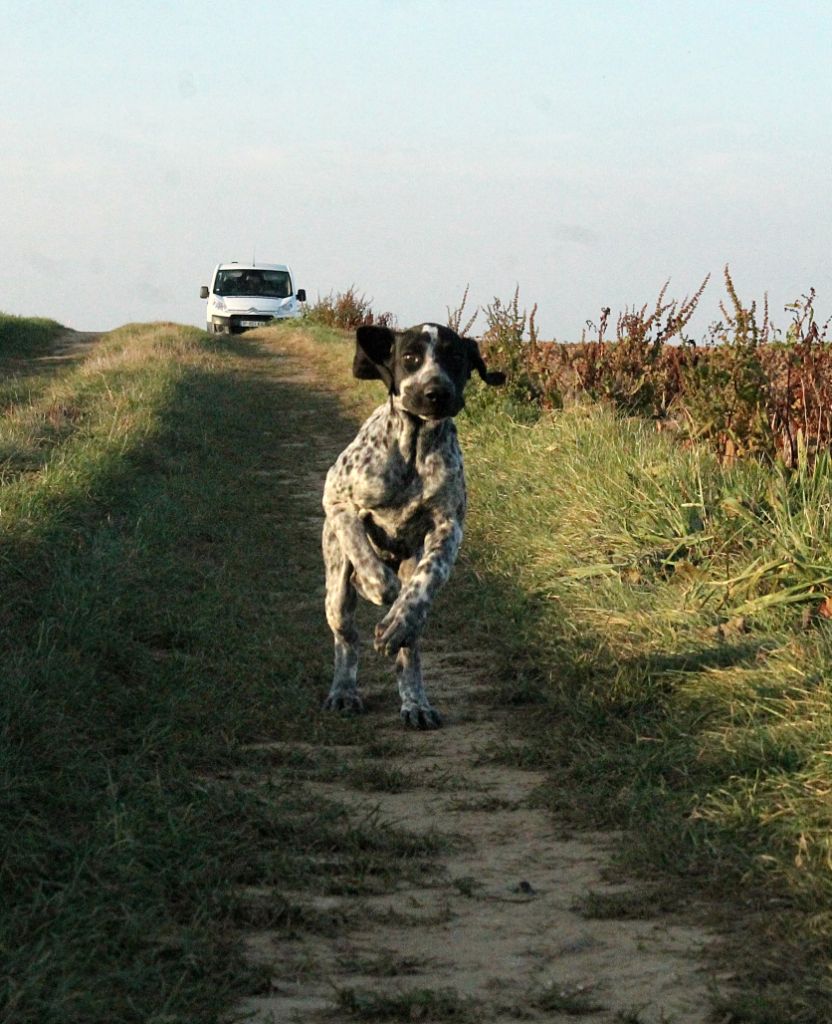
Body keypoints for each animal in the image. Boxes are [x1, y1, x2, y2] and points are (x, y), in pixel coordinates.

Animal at [322, 322, 505, 728]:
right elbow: (359, 543)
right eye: (410, 357)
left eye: (455, 357)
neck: (415, 447)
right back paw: (343, 691)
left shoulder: (448, 528)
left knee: (410, 651)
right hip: (335, 594)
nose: (436, 393)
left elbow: (427, 579)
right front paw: (377, 583)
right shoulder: (336, 498)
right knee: (346, 641)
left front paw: (398, 618)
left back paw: (415, 702)